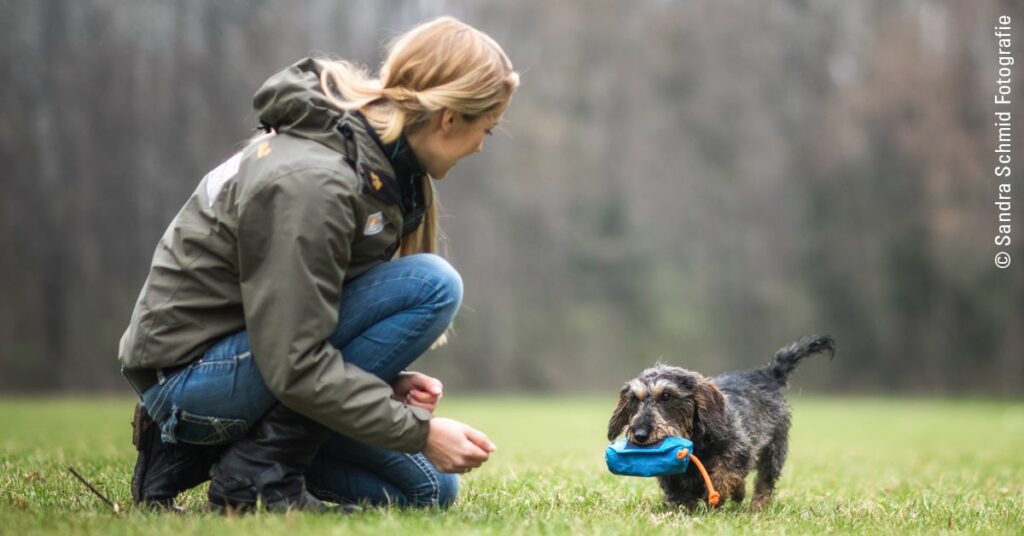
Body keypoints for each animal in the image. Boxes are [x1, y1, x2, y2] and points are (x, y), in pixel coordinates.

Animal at [606, 336, 831, 512]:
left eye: (667, 396)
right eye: (634, 399)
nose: (640, 434)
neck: (696, 440)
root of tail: (765, 375)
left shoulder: (739, 448)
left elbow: (725, 472)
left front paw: (717, 494)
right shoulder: (672, 475)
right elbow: (680, 493)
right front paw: (686, 509)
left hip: (774, 449)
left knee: (765, 482)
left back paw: (757, 506)